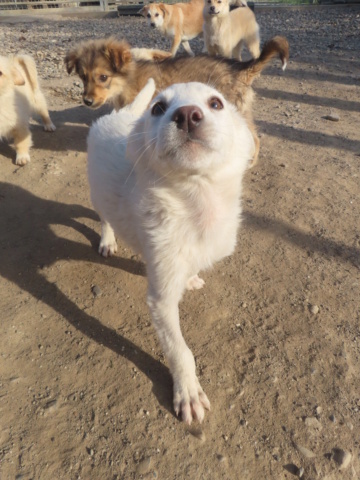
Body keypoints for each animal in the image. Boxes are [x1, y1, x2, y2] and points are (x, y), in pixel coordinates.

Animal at [87, 79, 255, 424]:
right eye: (158, 107)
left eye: (216, 103)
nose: (188, 114)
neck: (197, 206)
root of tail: (118, 115)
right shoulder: (160, 301)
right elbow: (180, 351)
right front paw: (188, 393)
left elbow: (189, 267)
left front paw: (190, 278)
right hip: (98, 195)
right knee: (105, 217)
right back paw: (107, 240)